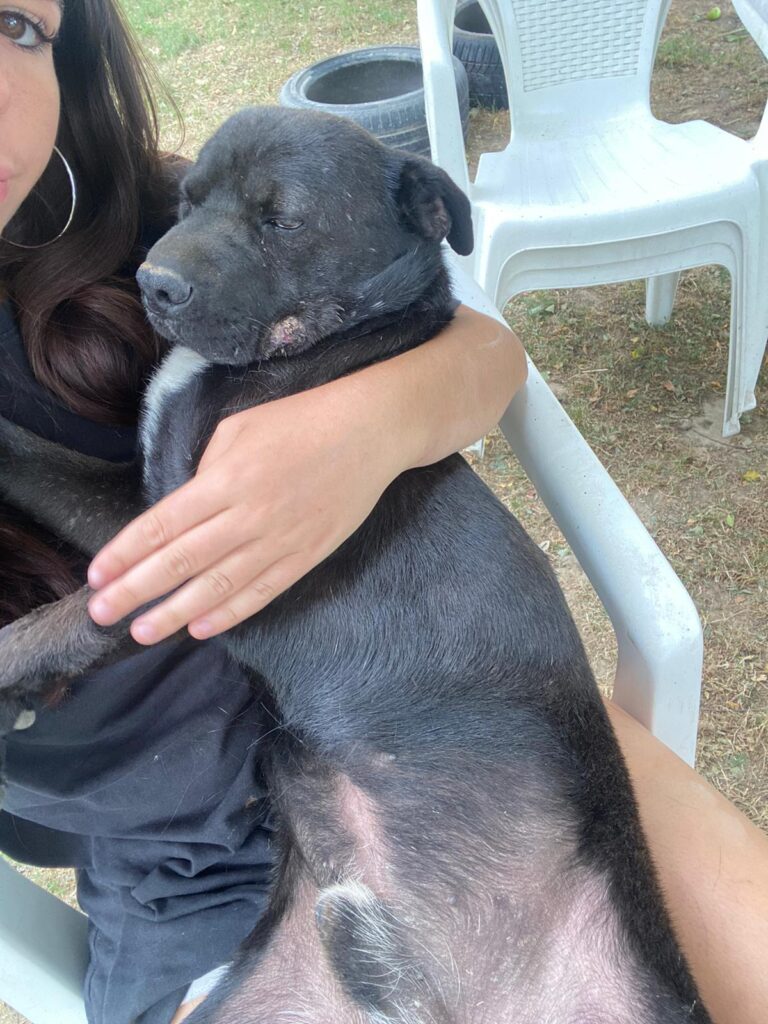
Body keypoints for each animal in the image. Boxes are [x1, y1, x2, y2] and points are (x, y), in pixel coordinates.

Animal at [0, 107, 710, 1023]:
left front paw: (13, 666)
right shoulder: (134, 504)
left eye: (283, 221)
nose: (154, 282)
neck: (317, 347)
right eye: (188, 198)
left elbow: (71, 612)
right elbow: (33, 458)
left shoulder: (178, 550)